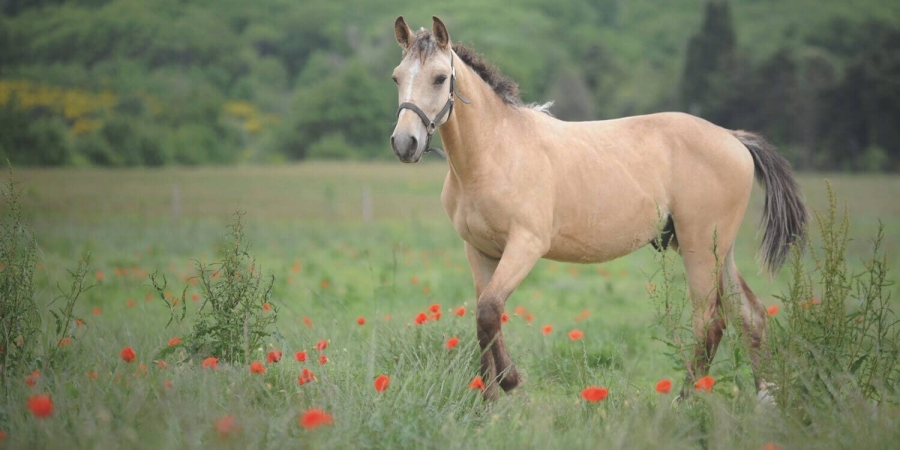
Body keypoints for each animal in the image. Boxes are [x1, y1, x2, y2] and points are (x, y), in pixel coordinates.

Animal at [388, 15, 808, 400]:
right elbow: (483, 319)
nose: (405, 143)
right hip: (721, 251)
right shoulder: (479, 251)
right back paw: (764, 400)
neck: (494, 152)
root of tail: (734, 139)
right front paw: (489, 402)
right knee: (751, 318)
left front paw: (511, 381)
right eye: (396, 78)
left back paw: (687, 402)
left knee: (710, 323)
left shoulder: (525, 245)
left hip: (700, 249)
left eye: (440, 78)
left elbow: (490, 310)